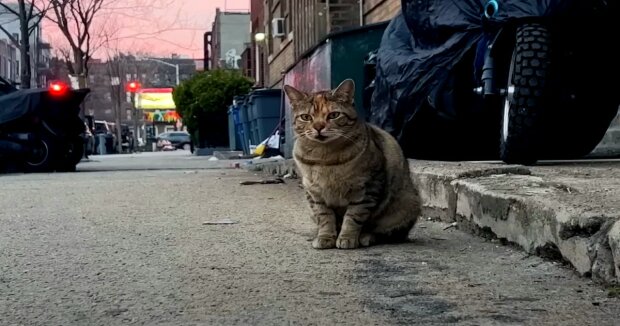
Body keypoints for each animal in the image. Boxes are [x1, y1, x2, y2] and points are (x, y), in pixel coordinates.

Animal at [282, 79, 422, 250]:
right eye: (306, 117)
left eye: (334, 115)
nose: (318, 127)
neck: (324, 158)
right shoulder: (314, 193)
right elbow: (324, 217)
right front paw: (325, 237)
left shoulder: (367, 187)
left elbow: (353, 216)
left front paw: (347, 238)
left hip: (406, 205)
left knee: (390, 233)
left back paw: (367, 237)